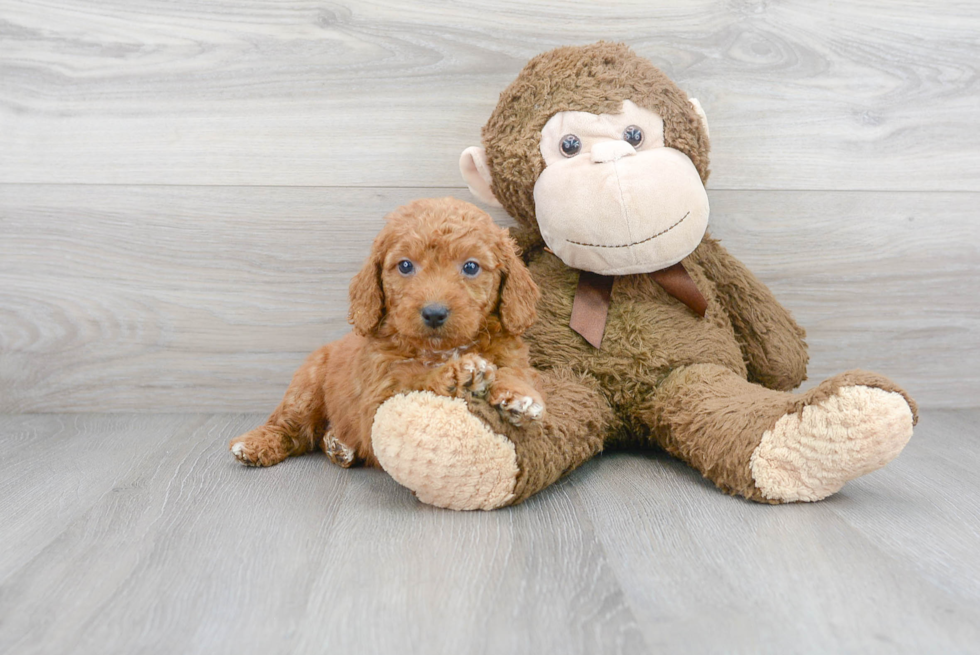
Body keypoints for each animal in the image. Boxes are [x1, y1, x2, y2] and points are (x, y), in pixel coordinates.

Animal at [231, 197, 544, 468]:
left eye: (471, 266)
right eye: (405, 265)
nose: (434, 312)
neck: (440, 349)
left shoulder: (512, 356)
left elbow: (516, 372)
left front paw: (518, 396)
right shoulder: (378, 398)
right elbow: (415, 378)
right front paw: (458, 375)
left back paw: (338, 445)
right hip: (306, 388)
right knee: (291, 428)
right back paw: (256, 444)